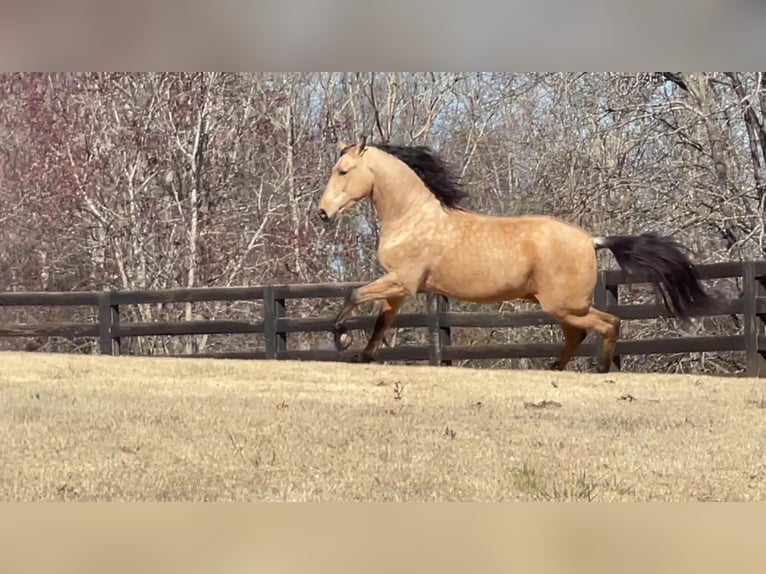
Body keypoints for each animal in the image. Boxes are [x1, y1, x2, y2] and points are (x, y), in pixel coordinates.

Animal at [317, 137, 725, 372]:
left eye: (343, 171)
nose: (323, 213)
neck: (413, 217)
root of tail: (591, 240)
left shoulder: (402, 281)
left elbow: (352, 294)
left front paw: (340, 339)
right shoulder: (399, 289)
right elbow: (380, 323)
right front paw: (364, 356)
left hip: (565, 305)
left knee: (609, 323)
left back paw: (600, 370)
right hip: (561, 308)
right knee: (579, 334)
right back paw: (554, 368)